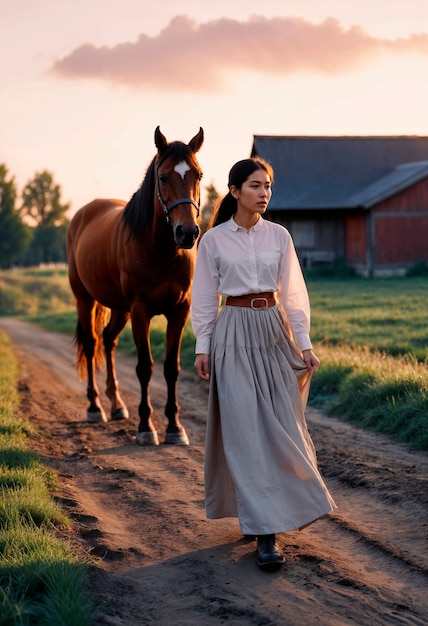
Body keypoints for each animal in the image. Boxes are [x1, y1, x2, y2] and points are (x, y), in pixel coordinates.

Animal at [67, 125, 204, 444]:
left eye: (198, 175)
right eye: (163, 177)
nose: (187, 233)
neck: (161, 251)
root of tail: (82, 214)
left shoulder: (179, 312)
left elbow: (171, 368)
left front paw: (174, 427)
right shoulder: (141, 311)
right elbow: (145, 367)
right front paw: (146, 427)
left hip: (120, 309)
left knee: (108, 340)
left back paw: (117, 405)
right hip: (85, 300)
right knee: (92, 344)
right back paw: (95, 407)